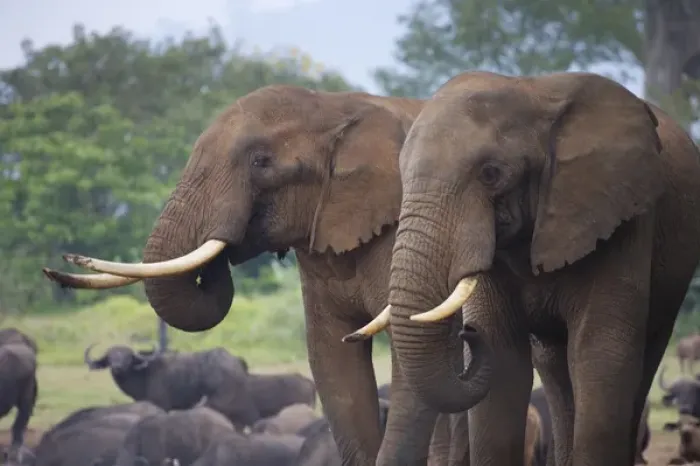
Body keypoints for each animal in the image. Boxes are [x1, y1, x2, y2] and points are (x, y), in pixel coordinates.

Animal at [84, 344, 259, 429]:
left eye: (128, 356)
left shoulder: (162, 405)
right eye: (111, 357)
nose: (117, 368)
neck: (144, 374)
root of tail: (236, 360)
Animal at [364, 70, 700, 465]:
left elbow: (600, 356)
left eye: (491, 173)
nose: (466, 333)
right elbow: (505, 363)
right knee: (555, 372)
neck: (532, 94)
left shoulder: (623, 219)